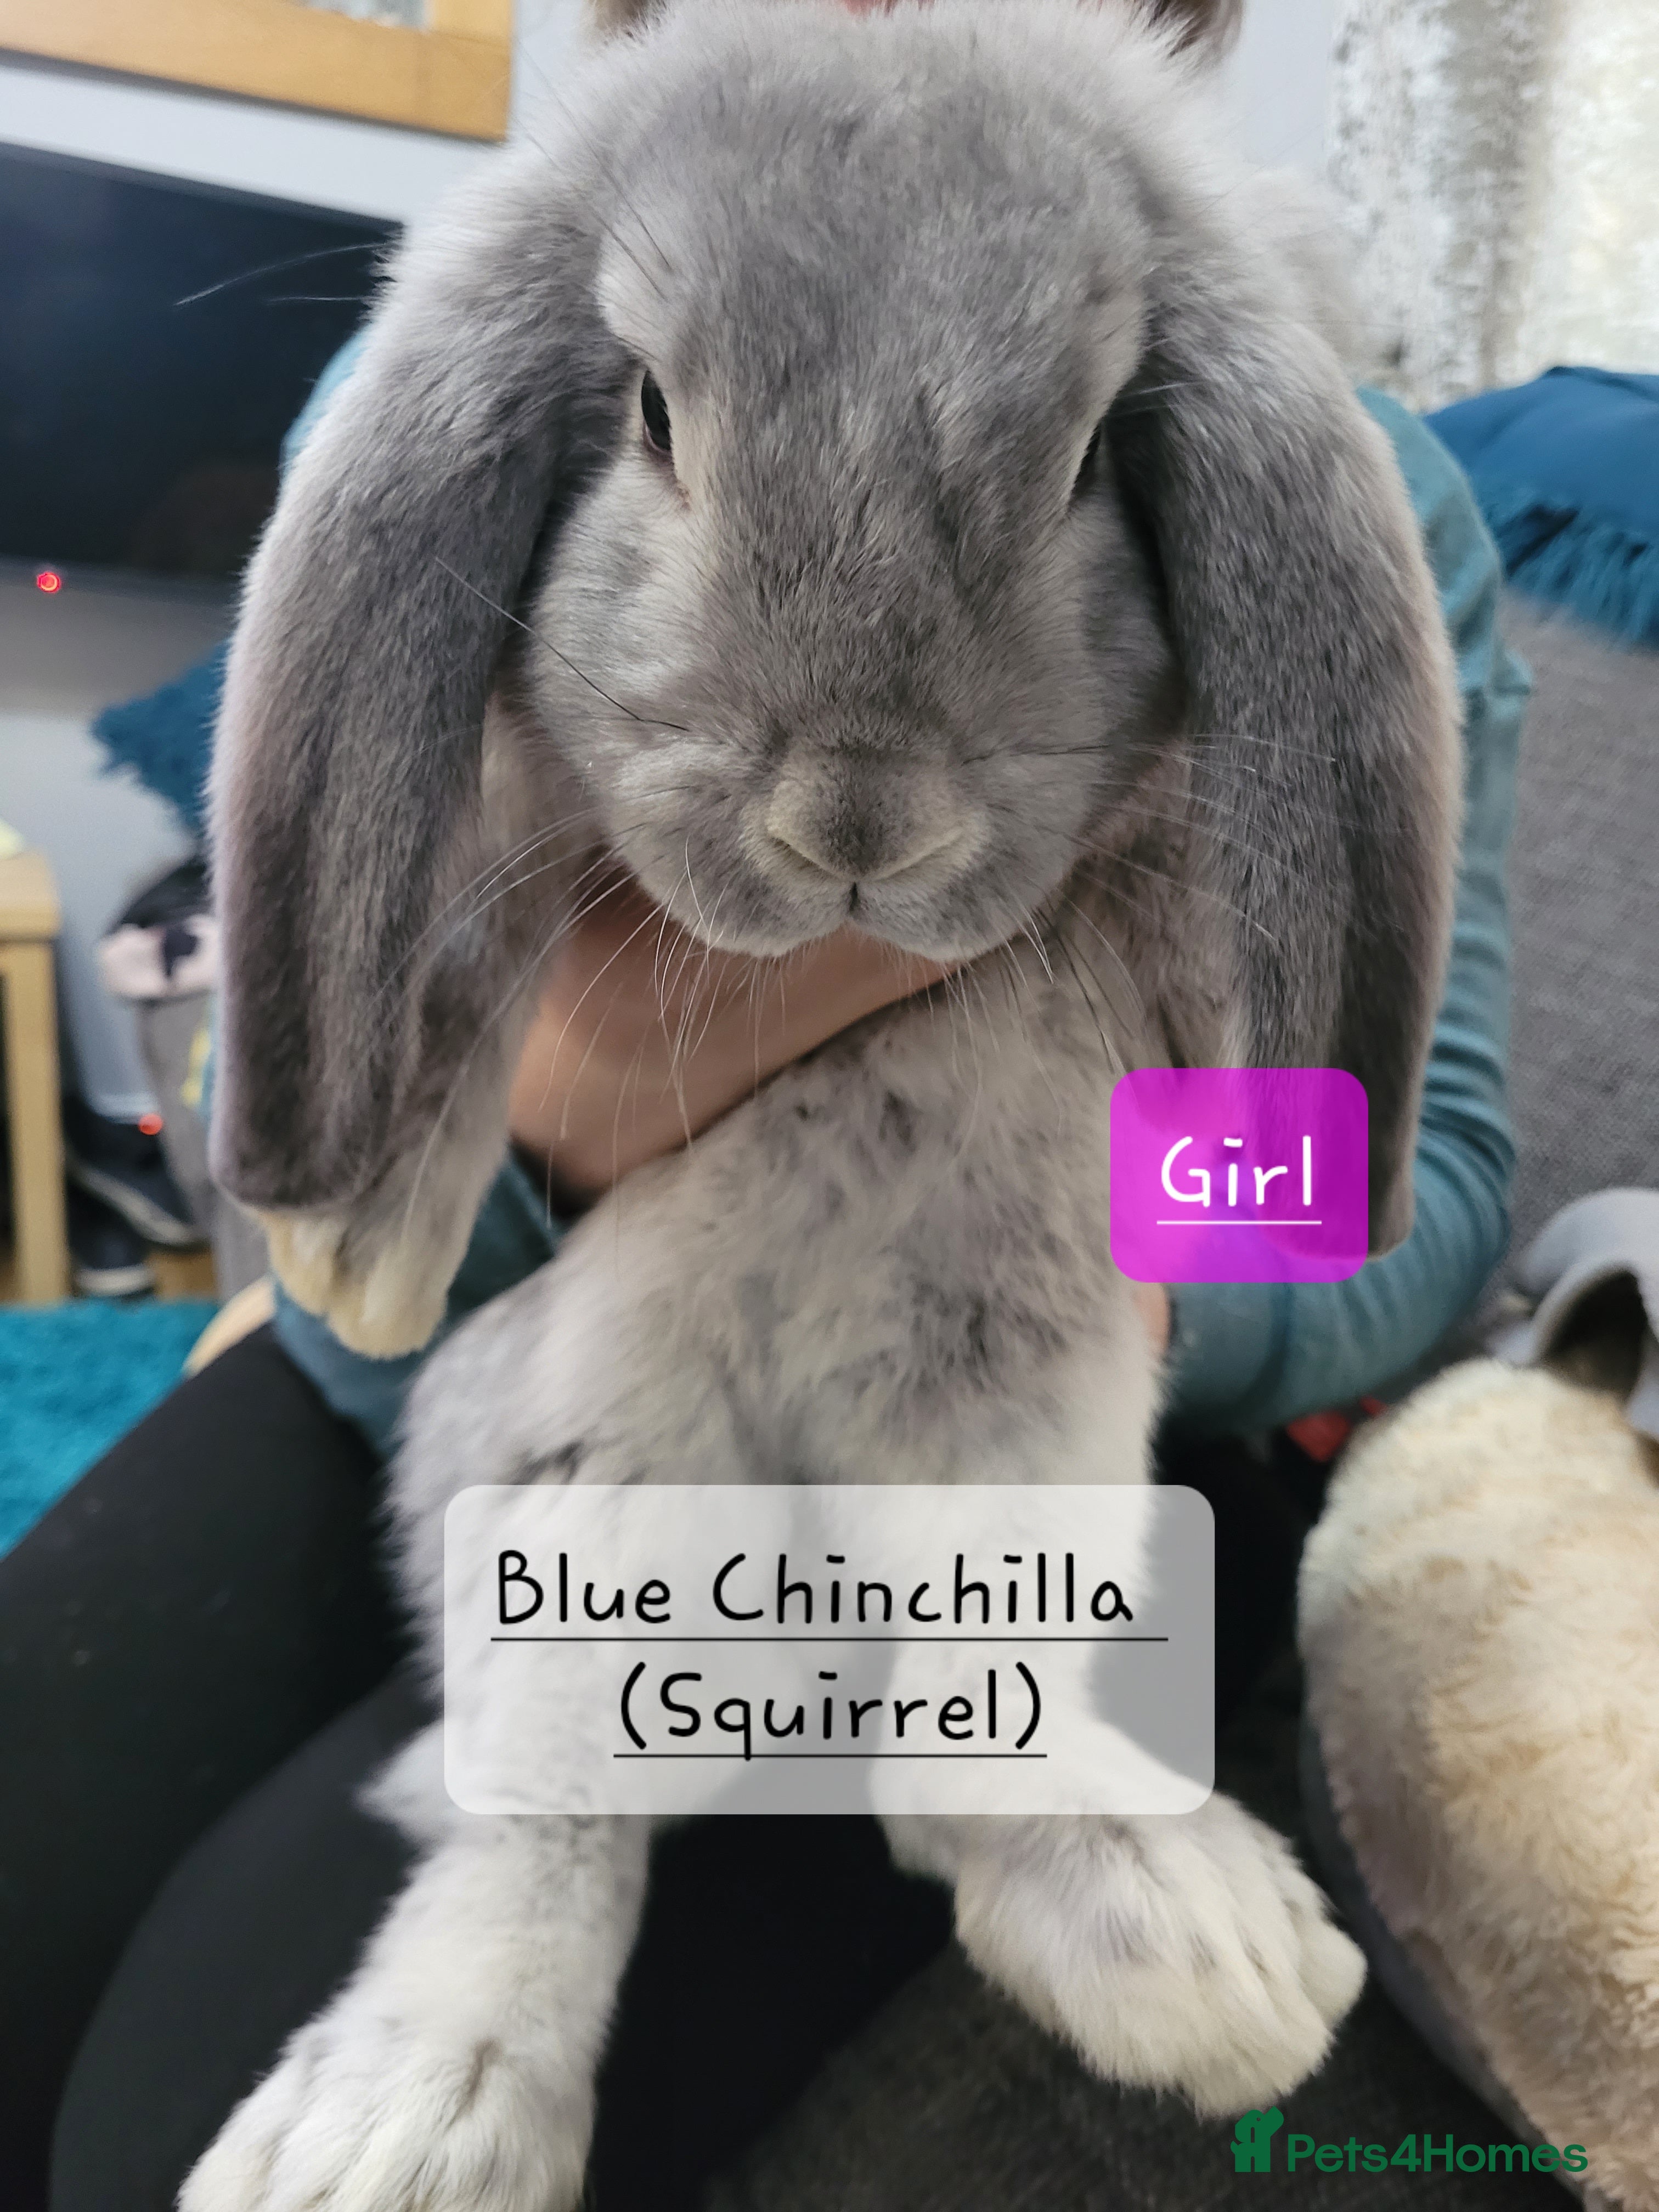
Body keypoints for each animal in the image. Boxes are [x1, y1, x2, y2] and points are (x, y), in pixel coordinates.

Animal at [186, 0, 1461, 2203]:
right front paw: (355, 1248)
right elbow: (462, 923)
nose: (854, 825)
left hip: (1018, 1431)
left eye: (1086, 455)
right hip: (585, 1489)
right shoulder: (509, 819)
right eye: (647, 413)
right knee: (546, 1832)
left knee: (944, 1765)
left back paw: (1189, 1945)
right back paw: (406, 2119)